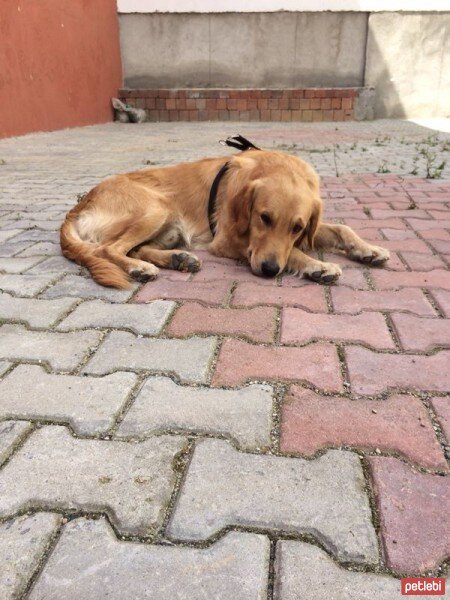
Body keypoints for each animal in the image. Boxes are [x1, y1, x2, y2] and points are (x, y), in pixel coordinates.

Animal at [60, 137, 390, 288]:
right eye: (264, 218)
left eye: (297, 228)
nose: (269, 270)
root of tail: (81, 203)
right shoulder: (227, 240)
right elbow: (293, 253)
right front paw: (316, 265)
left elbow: (343, 228)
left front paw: (369, 250)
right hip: (156, 207)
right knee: (108, 249)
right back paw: (138, 268)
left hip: (168, 227)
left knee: (136, 248)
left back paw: (177, 259)